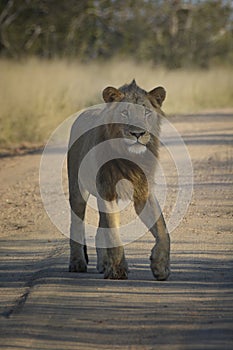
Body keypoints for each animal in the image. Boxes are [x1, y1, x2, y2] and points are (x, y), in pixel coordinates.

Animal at [67, 80, 169, 280]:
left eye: (146, 112)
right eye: (124, 112)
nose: (138, 133)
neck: (129, 156)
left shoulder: (143, 193)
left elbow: (162, 230)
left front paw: (161, 266)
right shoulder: (106, 191)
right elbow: (113, 234)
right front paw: (118, 270)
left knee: (101, 228)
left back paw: (104, 264)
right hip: (77, 190)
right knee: (77, 224)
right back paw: (77, 263)